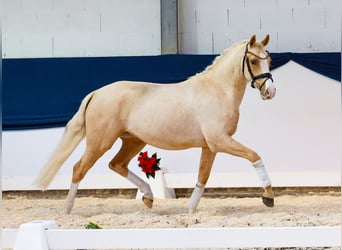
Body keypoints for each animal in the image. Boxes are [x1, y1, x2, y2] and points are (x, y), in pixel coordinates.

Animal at [35, 34, 276, 215]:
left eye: (270, 60)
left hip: (133, 142)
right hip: (100, 142)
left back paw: (149, 197)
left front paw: (190, 210)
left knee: (116, 165)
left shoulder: (210, 146)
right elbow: (255, 156)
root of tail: (97, 93)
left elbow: (202, 177)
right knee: (79, 168)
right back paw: (67, 210)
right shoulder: (219, 141)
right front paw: (268, 197)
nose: (270, 92)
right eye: (254, 61)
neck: (217, 90)